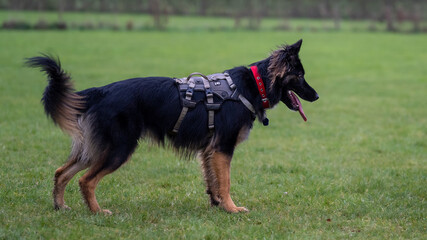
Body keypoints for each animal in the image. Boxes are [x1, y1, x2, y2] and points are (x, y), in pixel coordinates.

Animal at [26, 39, 320, 214]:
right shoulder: (223, 147)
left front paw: (216, 205)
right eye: (300, 76)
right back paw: (97, 211)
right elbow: (225, 181)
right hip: (118, 149)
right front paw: (232, 209)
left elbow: (213, 180)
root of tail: (99, 91)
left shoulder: (209, 150)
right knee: (86, 180)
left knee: (61, 172)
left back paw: (60, 206)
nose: (317, 96)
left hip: (94, 149)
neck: (252, 85)